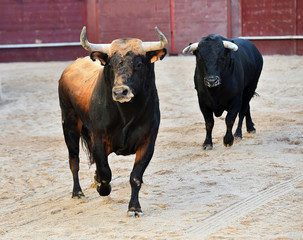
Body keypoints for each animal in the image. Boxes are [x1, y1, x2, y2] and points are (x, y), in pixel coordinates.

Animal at [58, 27, 167, 217]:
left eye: (139, 64)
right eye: (110, 65)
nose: (120, 92)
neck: (126, 115)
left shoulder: (148, 142)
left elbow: (135, 177)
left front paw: (134, 208)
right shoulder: (98, 139)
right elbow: (105, 173)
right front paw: (102, 188)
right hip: (69, 124)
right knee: (74, 160)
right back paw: (77, 192)